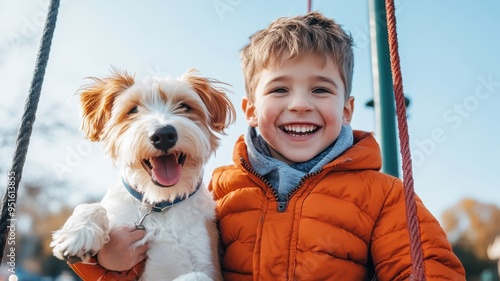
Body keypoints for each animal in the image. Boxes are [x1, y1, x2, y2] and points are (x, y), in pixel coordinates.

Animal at [50, 68, 234, 280]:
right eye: (133, 110)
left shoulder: (210, 266)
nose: (163, 135)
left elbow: (195, 275)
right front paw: (78, 234)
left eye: (184, 106)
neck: (159, 204)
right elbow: (92, 207)